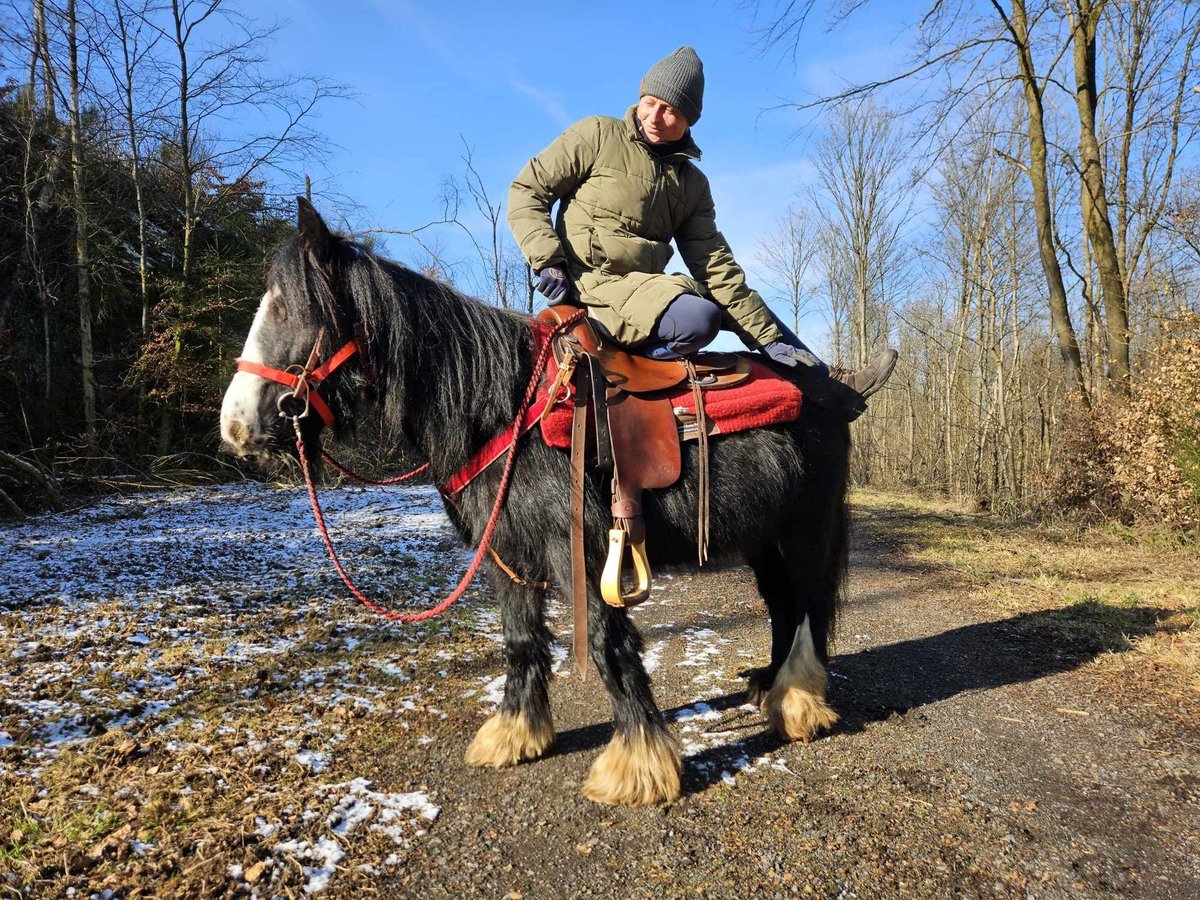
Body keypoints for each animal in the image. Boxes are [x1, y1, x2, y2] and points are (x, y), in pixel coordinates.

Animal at [218, 199, 854, 811]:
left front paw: (638, 767)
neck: (503, 408)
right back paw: (769, 686)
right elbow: (521, 640)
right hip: (762, 539)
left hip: (805, 530)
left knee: (805, 606)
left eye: (291, 309)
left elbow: (607, 644)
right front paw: (514, 734)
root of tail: (836, 389)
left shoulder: (582, 555)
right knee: (781, 604)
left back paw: (797, 702)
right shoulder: (508, 555)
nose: (236, 424)